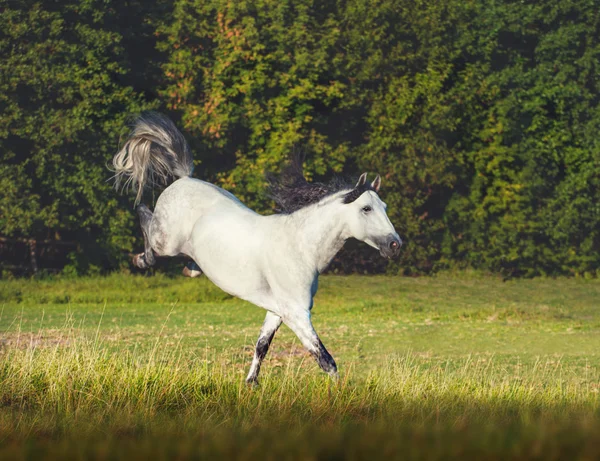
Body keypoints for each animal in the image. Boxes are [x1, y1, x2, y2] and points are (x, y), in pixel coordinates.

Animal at [113, 112, 404, 384]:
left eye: (384, 207)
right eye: (366, 209)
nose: (395, 245)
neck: (300, 248)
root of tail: (184, 179)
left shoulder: (276, 311)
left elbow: (262, 346)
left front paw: (250, 383)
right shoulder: (296, 313)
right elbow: (325, 360)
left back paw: (189, 268)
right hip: (165, 242)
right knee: (143, 215)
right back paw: (140, 259)